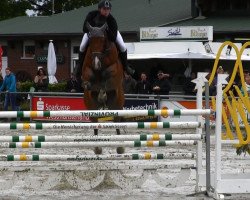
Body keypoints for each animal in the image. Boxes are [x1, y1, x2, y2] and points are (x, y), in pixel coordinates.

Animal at [82, 23, 125, 155]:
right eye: (90, 40)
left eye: (103, 40)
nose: (96, 64)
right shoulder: (87, 68)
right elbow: (89, 76)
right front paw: (89, 85)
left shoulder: (114, 69)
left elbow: (107, 74)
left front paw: (102, 94)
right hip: (91, 107)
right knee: (95, 123)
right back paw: (97, 147)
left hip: (117, 105)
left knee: (116, 121)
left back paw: (120, 147)